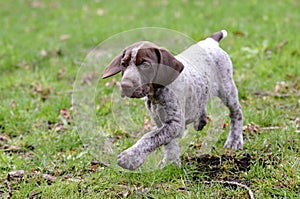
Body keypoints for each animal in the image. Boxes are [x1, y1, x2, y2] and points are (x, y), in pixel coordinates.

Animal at [102, 29, 243, 169]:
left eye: (145, 65)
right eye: (123, 64)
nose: (125, 86)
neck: (156, 94)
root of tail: (210, 42)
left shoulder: (175, 123)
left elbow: (150, 137)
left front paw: (130, 157)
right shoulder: (161, 121)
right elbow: (168, 142)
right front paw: (171, 162)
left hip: (227, 89)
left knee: (236, 112)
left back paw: (234, 141)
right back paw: (200, 121)